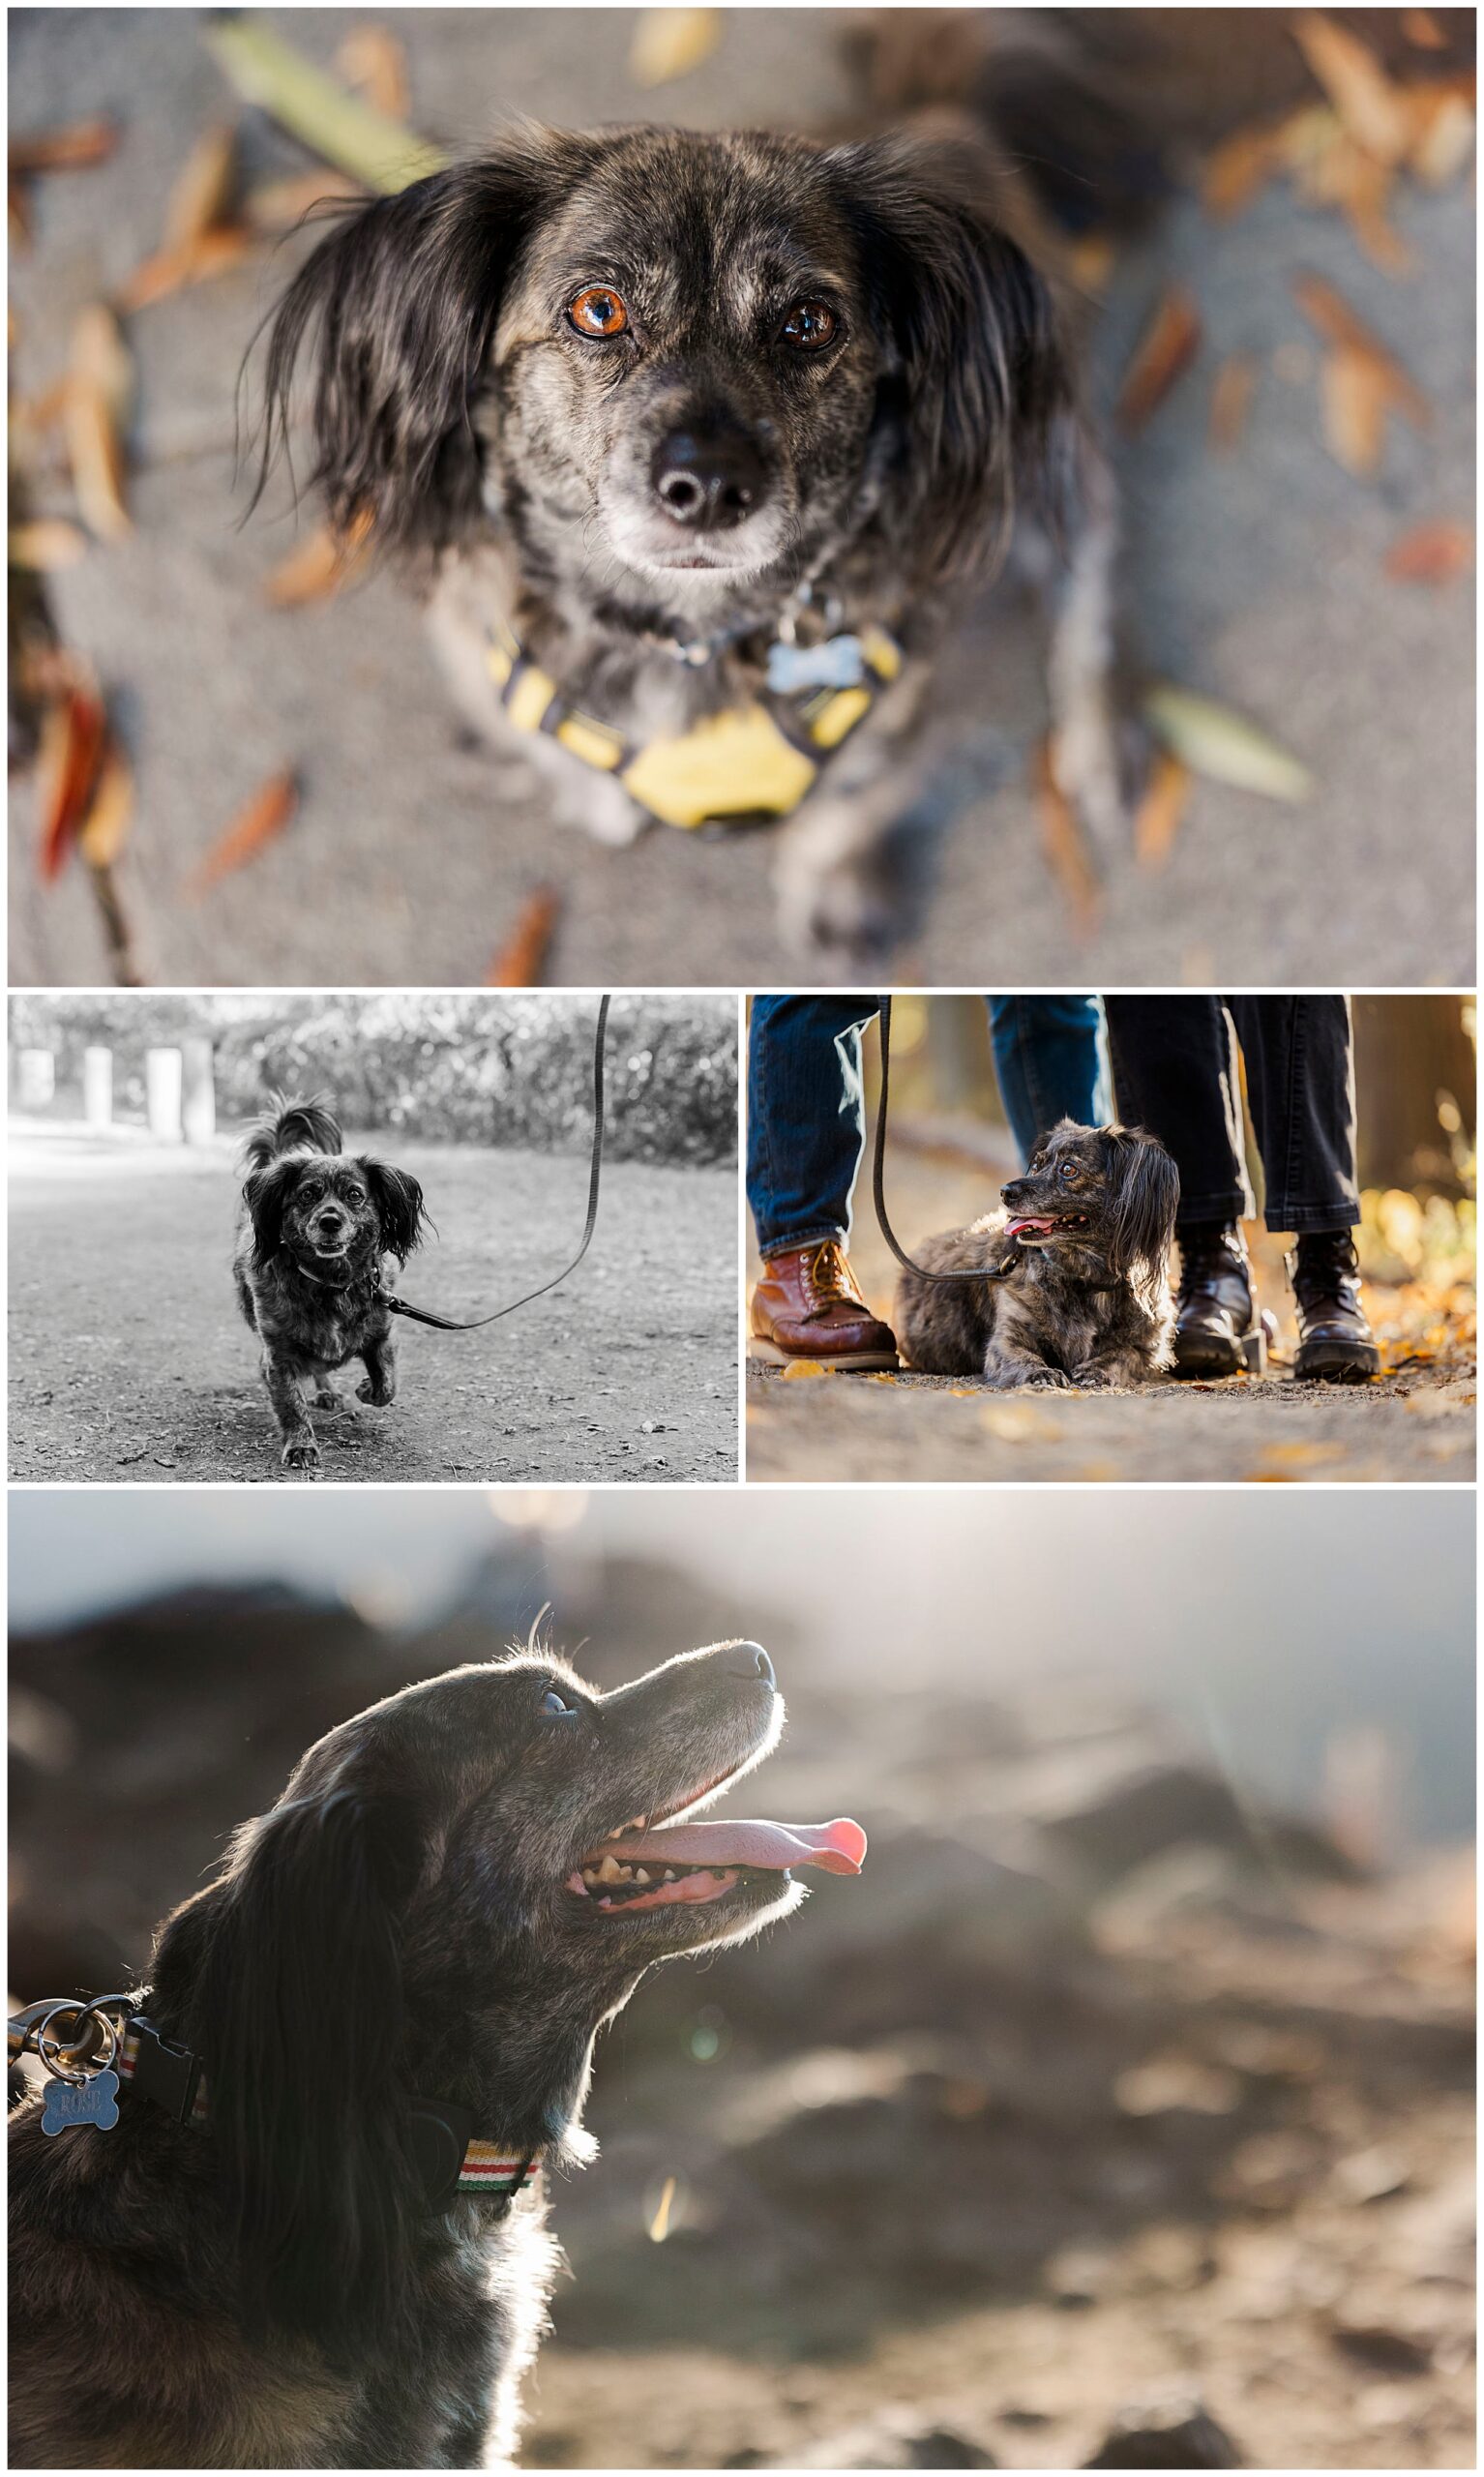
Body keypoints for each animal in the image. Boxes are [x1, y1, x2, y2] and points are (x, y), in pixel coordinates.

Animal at [230, 1099, 429, 1466]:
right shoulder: (277, 1356)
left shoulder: (382, 1336)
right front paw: (300, 1444)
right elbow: (291, 1403)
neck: (332, 1283)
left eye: (354, 1194)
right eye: (308, 1194)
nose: (330, 1221)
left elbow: (387, 1384)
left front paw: (366, 1388)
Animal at [891, 1124, 1184, 1396]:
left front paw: (1097, 1369)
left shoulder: (1148, 1350)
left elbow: (1124, 1354)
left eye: (1069, 1169)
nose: (1005, 1191)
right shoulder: (1007, 1340)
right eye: (1036, 1165)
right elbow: (1024, 1357)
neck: (1084, 1279)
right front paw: (1042, 1373)